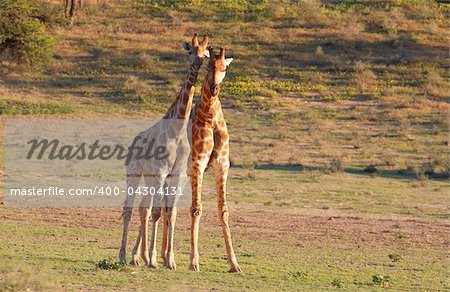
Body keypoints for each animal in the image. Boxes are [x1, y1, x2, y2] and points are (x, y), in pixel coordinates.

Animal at [119, 32, 211, 270]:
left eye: (205, 53)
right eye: (190, 50)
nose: (197, 63)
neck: (177, 132)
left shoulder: (176, 175)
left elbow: (171, 212)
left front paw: (170, 260)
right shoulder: (161, 172)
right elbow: (158, 212)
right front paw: (153, 259)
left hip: (149, 177)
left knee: (143, 207)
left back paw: (136, 256)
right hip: (134, 173)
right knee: (129, 209)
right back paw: (122, 256)